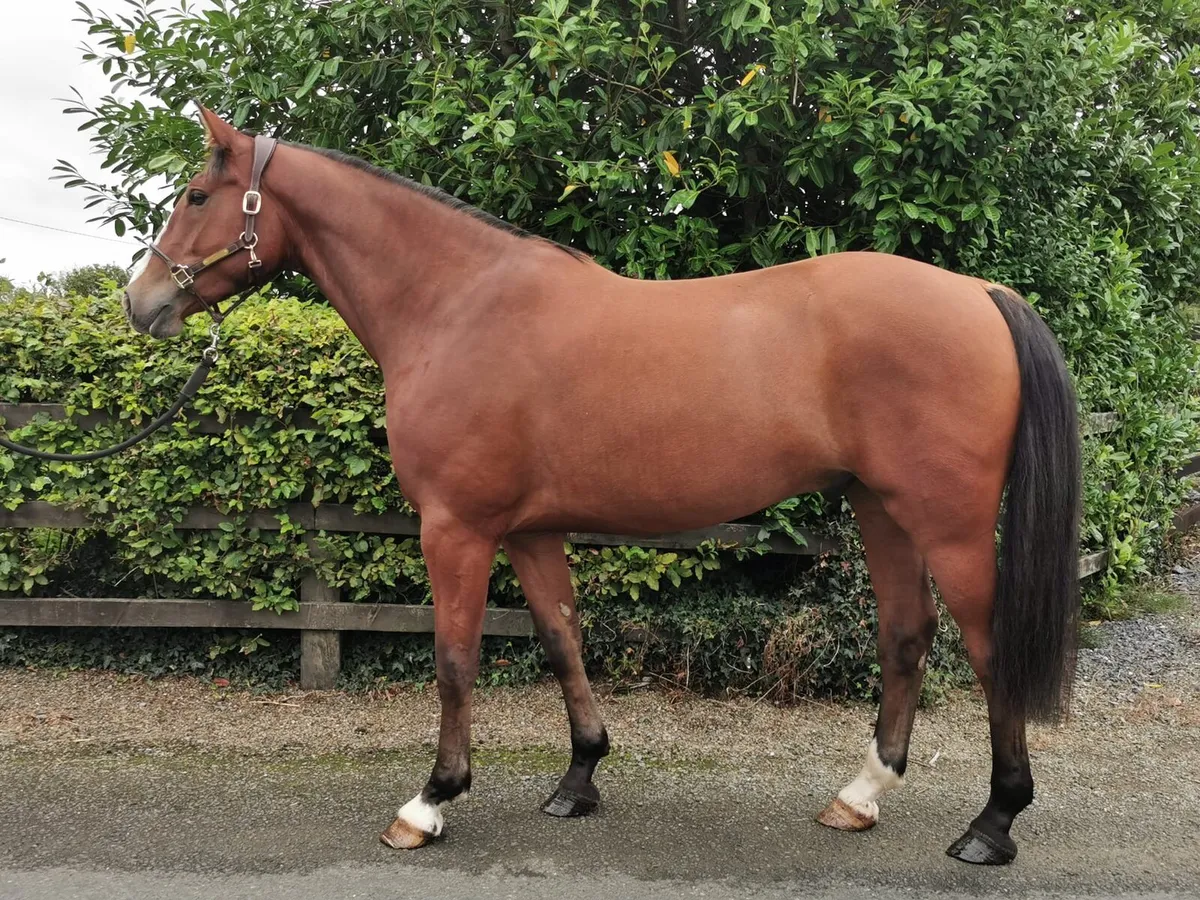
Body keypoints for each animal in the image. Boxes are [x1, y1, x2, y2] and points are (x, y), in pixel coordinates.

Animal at [123, 106, 1081, 866]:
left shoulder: (456, 528)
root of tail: (978, 292)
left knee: (988, 647)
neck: (457, 304)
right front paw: (580, 777)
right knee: (907, 634)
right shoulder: (528, 530)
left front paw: (430, 801)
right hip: (880, 508)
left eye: (197, 197)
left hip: (948, 523)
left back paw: (992, 824)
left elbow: (455, 659)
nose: (140, 303)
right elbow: (560, 640)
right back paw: (861, 795)